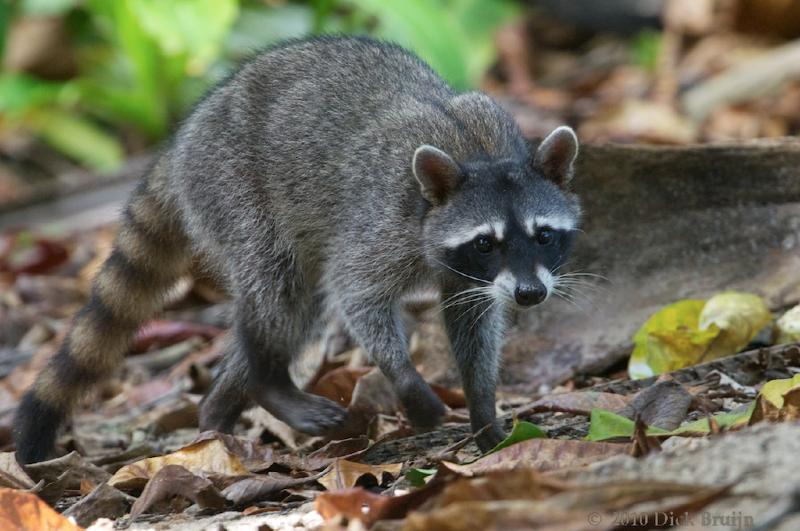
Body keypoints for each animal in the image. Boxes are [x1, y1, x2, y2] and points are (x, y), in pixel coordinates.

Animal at [9, 35, 580, 464]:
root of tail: (182, 141)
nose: (530, 294)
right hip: (231, 189)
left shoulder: (470, 272)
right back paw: (267, 383)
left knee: (297, 306)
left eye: (544, 235)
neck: (480, 155)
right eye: (486, 242)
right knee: (278, 290)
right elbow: (357, 294)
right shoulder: (383, 225)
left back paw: (219, 408)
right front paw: (404, 377)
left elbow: (474, 323)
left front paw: (484, 410)